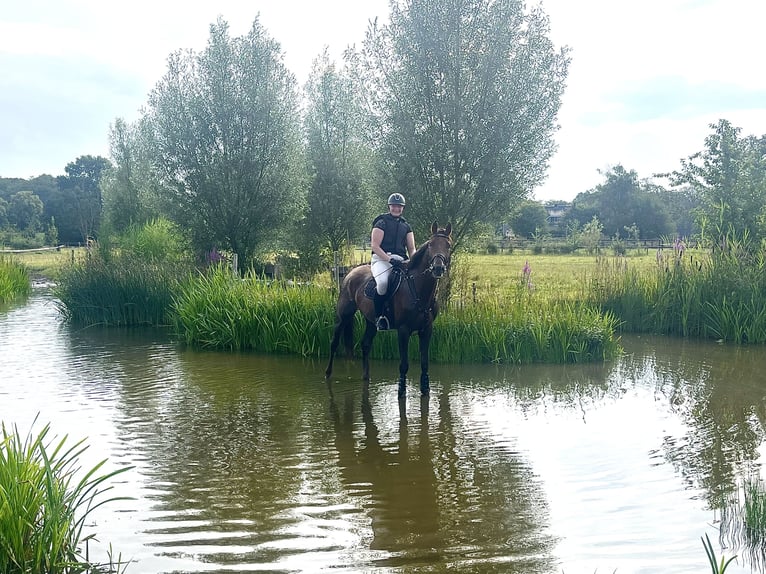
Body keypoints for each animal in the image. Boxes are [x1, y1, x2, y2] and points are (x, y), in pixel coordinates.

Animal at [322, 223, 450, 398]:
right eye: (431, 245)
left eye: (448, 245)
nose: (438, 268)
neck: (417, 289)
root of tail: (350, 273)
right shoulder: (403, 330)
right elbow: (404, 364)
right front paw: (401, 391)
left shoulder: (426, 330)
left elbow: (424, 363)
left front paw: (425, 390)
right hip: (343, 316)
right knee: (334, 343)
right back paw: (328, 373)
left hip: (371, 321)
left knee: (365, 344)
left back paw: (366, 377)